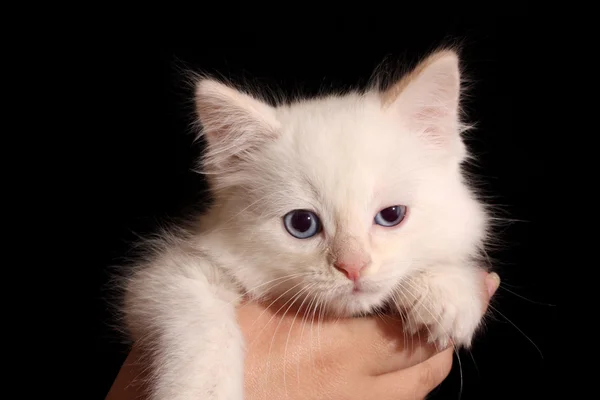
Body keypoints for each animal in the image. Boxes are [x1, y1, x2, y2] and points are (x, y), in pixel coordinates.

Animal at [123, 50, 492, 400]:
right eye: (302, 224)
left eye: (391, 215)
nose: (353, 267)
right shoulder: (168, 274)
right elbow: (199, 318)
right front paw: (201, 391)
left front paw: (447, 290)